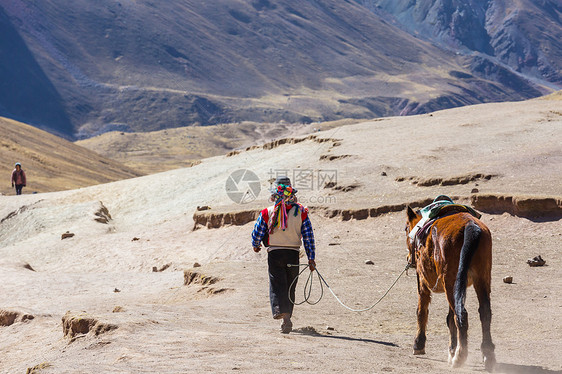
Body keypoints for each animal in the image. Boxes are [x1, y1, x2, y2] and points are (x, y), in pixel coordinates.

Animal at [402, 206, 494, 372]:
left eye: (406, 228)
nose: (408, 259)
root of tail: (470, 226)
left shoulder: (422, 281)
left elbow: (422, 311)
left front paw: (418, 344)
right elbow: (449, 319)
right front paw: (451, 348)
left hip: (451, 281)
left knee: (461, 315)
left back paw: (460, 356)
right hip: (480, 278)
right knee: (484, 312)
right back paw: (487, 355)